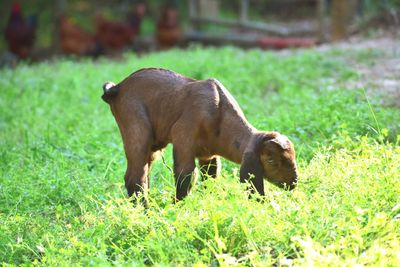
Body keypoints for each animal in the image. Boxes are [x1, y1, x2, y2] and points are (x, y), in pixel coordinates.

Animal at [101, 68, 298, 202]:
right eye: (271, 160)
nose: (293, 183)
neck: (219, 113)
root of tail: (116, 89)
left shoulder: (208, 155)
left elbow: (210, 177)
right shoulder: (183, 138)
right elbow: (186, 177)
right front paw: (177, 208)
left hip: (154, 144)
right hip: (137, 130)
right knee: (134, 177)